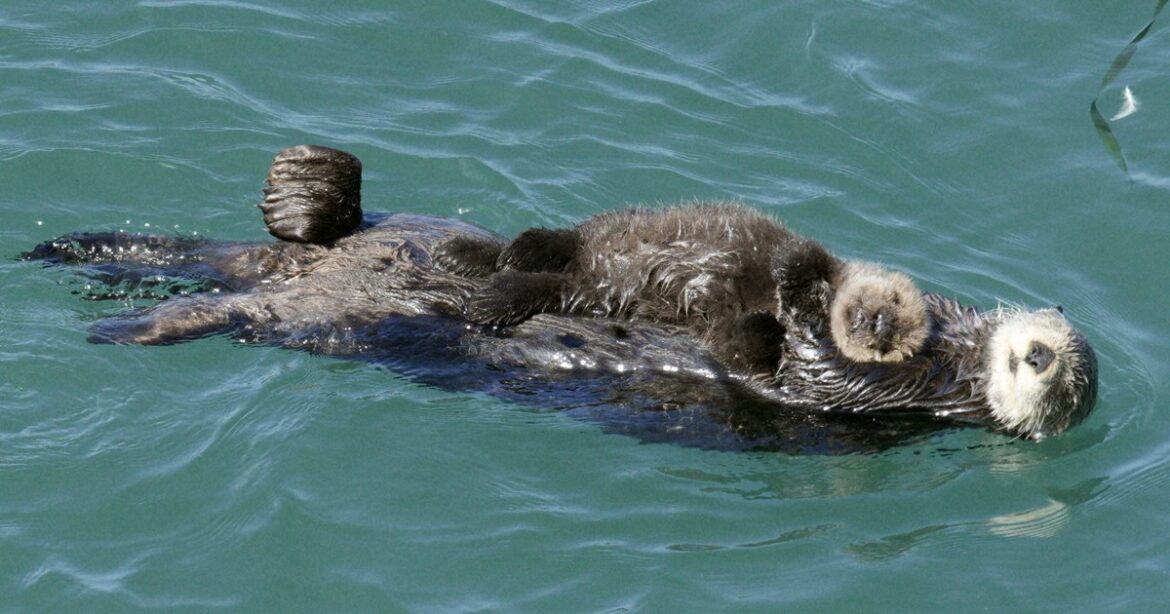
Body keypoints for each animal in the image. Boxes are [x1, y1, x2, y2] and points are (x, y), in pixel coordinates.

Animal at [23, 145, 1097, 442]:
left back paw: (126, 325)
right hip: (417, 237)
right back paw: (305, 187)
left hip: (317, 322)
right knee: (324, 233)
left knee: (233, 310)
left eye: (1043, 366)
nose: (1040, 350)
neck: (951, 362)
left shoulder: (868, 400)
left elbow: (803, 364)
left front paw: (796, 306)